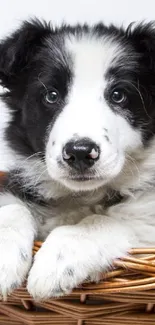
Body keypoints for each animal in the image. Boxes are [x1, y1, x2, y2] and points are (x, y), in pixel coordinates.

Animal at [0, 19, 155, 298]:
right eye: (51, 95)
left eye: (118, 95)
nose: (80, 152)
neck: (83, 196)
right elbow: (13, 208)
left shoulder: (147, 221)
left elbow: (101, 220)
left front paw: (57, 261)